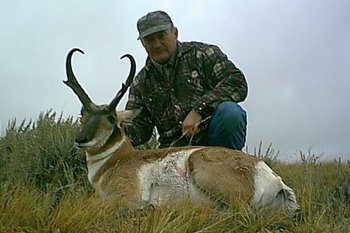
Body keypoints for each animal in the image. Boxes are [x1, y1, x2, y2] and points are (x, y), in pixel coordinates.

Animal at [63, 48, 298, 212]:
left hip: (201, 167)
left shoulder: (125, 197)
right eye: (82, 114)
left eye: (111, 117)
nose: (81, 139)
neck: (117, 158)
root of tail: (273, 177)